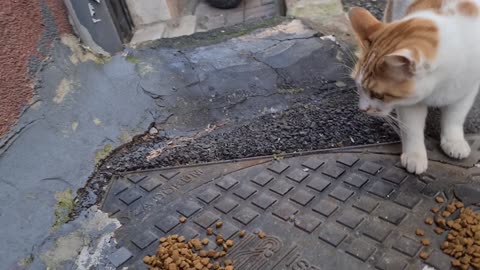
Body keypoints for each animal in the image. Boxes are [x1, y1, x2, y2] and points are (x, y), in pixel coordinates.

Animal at [348, 0, 480, 174]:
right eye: (358, 87)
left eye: (378, 95)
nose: (362, 109)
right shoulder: (409, 102)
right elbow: (412, 128)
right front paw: (415, 155)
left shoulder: (467, 89)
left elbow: (455, 117)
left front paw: (454, 141)